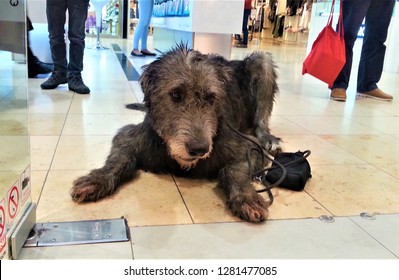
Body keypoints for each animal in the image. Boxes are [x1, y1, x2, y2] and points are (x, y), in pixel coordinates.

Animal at [72, 43, 284, 223]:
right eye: (176, 94)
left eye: (211, 98)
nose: (199, 149)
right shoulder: (129, 136)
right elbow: (119, 158)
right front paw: (96, 179)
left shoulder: (247, 146)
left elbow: (236, 170)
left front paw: (246, 197)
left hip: (261, 62)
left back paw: (269, 138)